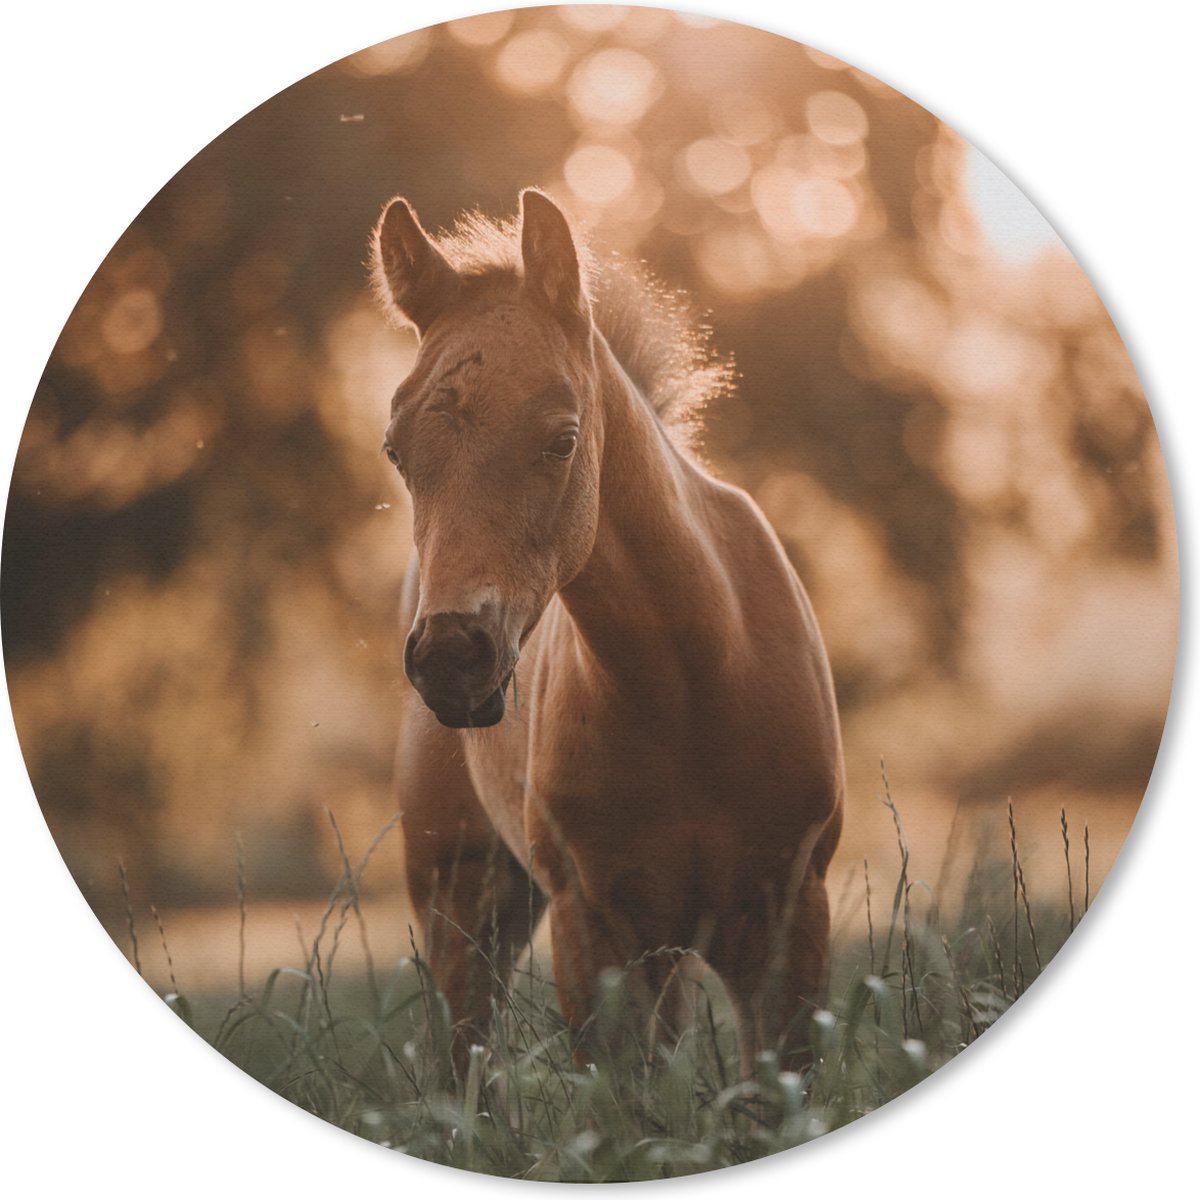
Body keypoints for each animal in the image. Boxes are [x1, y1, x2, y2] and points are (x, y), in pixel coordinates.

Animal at [370, 189, 844, 1076]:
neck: (690, 685)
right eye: (395, 450)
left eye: (562, 440)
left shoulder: (789, 918)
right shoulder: (593, 935)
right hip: (461, 893)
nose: (450, 658)